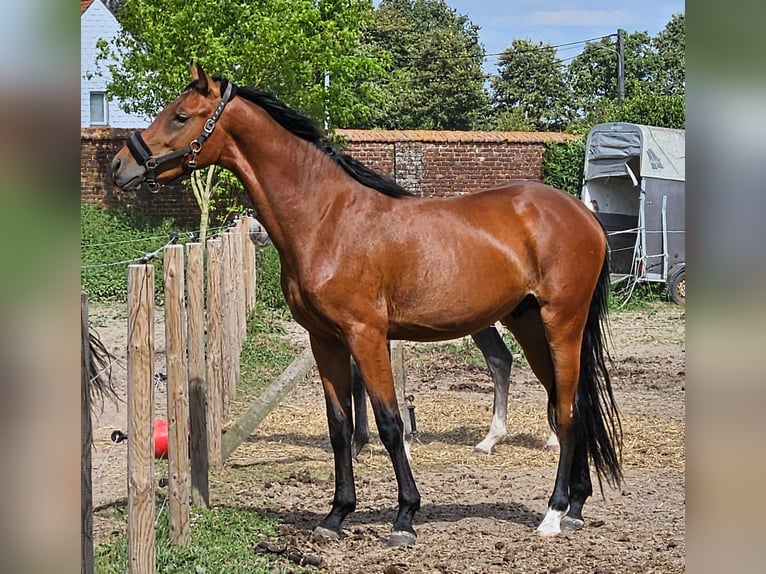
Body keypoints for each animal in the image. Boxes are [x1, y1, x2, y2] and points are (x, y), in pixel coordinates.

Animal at [109, 64, 624, 548]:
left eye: (180, 116)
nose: (119, 166)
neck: (328, 220)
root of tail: (584, 216)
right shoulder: (325, 340)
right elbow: (339, 426)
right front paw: (336, 515)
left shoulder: (367, 335)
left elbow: (390, 423)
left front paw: (405, 518)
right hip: (530, 324)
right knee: (573, 402)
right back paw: (576, 506)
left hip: (561, 323)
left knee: (567, 409)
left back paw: (553, 513)